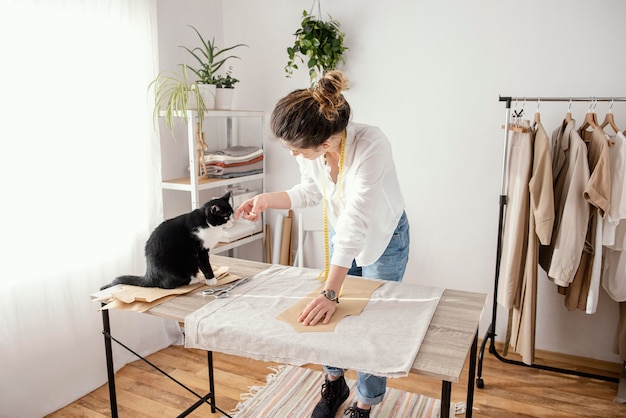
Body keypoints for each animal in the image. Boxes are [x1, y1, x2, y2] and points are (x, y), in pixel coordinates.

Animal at [102, 191, 234, 290]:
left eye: (232, 213)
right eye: (225, 217)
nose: (233, 221)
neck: (206, 224)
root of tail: (149, 274)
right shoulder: (199, 250)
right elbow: (205, 265)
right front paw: (211, 280)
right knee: (166, 285)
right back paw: (194, 280)